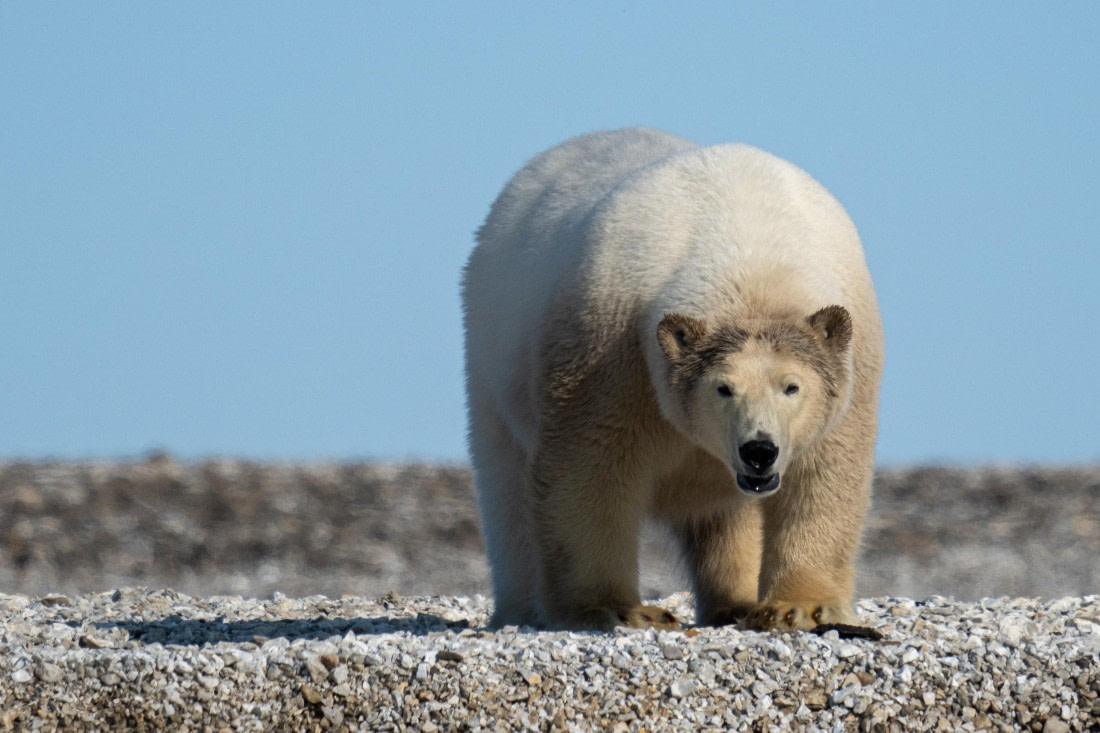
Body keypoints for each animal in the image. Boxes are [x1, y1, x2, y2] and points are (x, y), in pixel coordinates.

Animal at [462, 128, 883, 632]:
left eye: (792, 386)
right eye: (723, 387)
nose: (759, 450)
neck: (746, 254)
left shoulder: (850, 368)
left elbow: (825, 475)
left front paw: (797, 606)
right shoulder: (611, 350)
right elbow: (589, 469)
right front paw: (616, 609)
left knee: (725, 514)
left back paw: (735, 604)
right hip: (490, 357)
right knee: (504, 485)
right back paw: (521, 607)